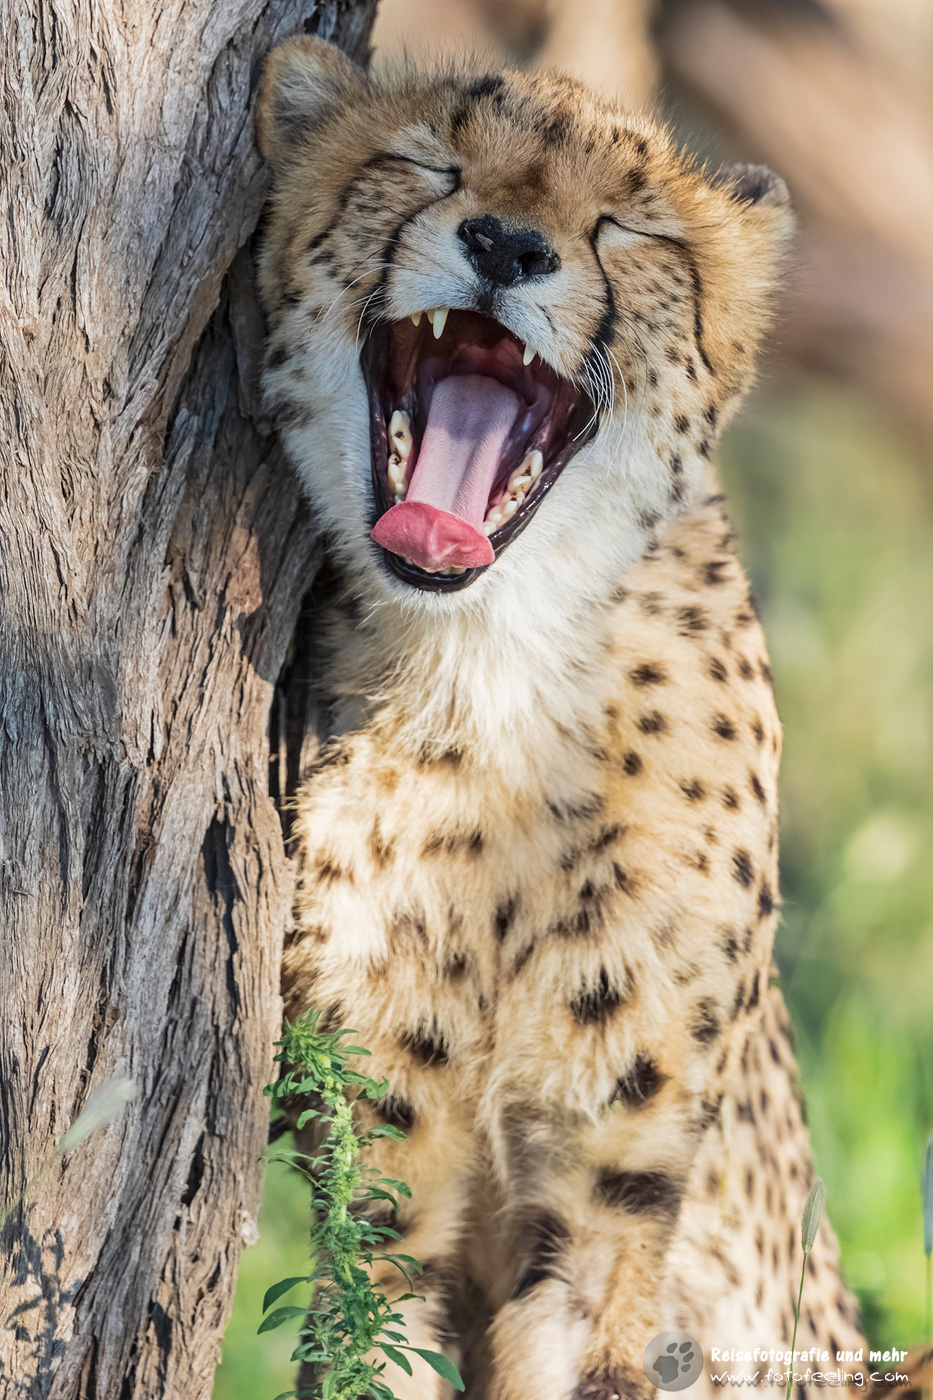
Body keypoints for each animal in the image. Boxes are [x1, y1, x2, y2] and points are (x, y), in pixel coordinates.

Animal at [255, 37, 867, 1400]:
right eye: (429, 161)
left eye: (627, 226)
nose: (506, 244)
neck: (492, 665)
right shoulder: (385, 1192)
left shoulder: (608, 1196)